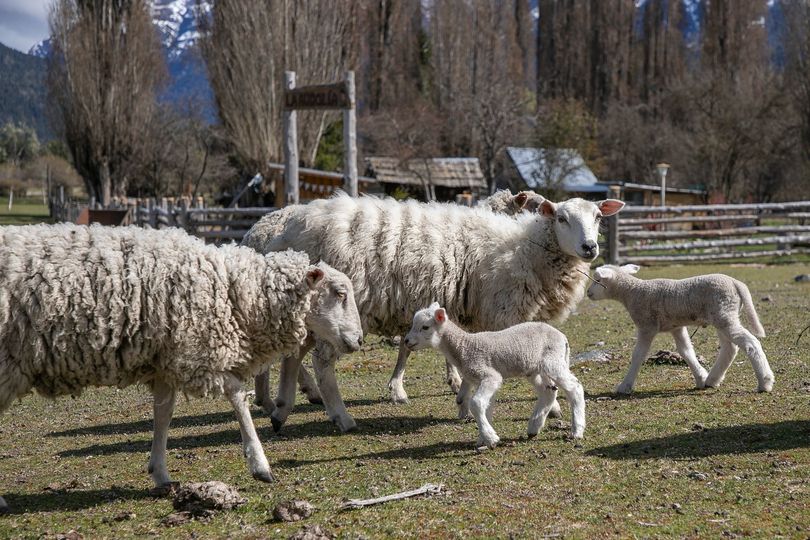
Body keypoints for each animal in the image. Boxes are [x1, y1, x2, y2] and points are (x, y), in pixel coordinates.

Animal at [0, 221, 360, 512]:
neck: (233, 291)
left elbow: (164, 414)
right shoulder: (200, 353)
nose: (357, 340)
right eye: (339, 293)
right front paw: (259, 464)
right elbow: (237, 397)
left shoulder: (169, 362)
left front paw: (159, 472)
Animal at [241, 192, 624, 432]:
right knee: (320, 362)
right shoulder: (505, 312)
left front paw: (461, 398)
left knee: (293, 355)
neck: (525, 248)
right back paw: (338, 415)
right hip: (336, 314)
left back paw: (281, 408)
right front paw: (553, 407)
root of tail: (273, 230)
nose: (590, 247)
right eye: (561, 217)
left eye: (597, 217)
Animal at [402, 304, 580, 448]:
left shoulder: (490, 376)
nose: (406, 341)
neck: (464, 347)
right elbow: (485, 407)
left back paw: (577, 430)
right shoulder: (481, 380)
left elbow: (476, 403)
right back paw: (534, 427)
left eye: (425, 327)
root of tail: (563, 337)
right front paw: (483, 439)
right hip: (534, 369)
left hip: (553, 362)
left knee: (575, 387)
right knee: (548, 392)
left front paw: (490, 438)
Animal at [584, 264, 772, 394]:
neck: (632, 291)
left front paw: (625, 386)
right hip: (723, 315)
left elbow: (638, 355)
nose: (588, 293)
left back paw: (765, 382)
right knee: (730, 348)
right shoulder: (677, 327)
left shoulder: (647, 326)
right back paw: (712, 379)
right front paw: (700, 377)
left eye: (598, 280)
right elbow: (686, 351)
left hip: (724, 313)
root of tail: (736, 282)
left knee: (750, 343)